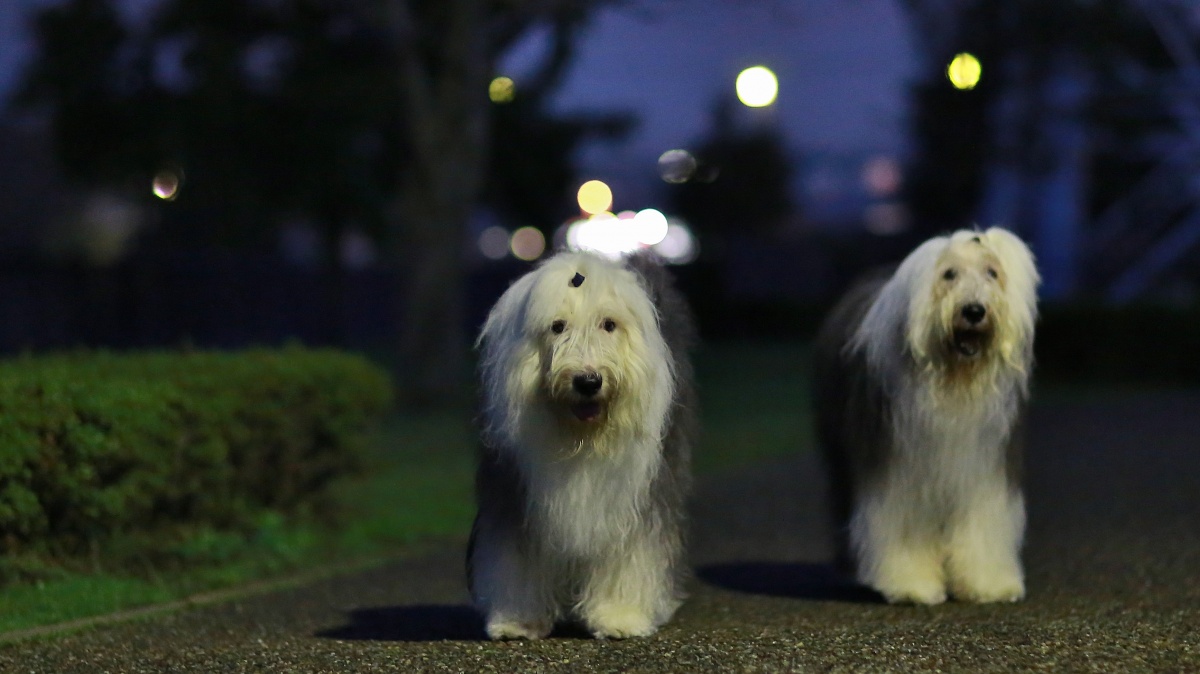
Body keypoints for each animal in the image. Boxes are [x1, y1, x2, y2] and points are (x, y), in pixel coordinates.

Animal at [468, 250, 697, 639]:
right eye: (558, 326)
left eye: (609, 324)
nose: (588, 381)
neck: (582, 440)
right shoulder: (514, 491)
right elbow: (516, 559)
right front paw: (517, 620)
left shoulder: (639, 496)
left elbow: (633, 552)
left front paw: (620, 617)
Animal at [813, 227, 1040, 605]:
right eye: (949, 274)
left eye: (992, 273)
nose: (974, 310)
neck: (953, 381)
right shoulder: (896, 469)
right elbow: (902, 525)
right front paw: (911, 585)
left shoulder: (986, 468)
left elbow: (983, 523)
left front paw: (987, 584)